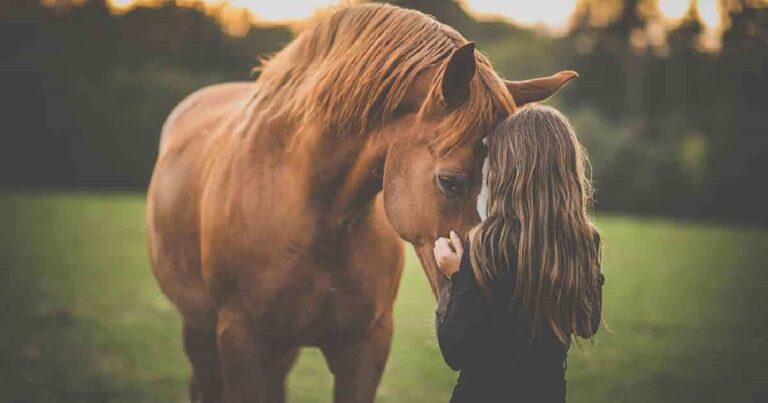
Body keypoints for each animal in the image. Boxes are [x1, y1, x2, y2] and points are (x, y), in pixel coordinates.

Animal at [146, 3, 576, 403]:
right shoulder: (241, 340)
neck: (311, 214)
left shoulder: (365, 347)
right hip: (201, 332)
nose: (502, 311)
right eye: (450, 182)